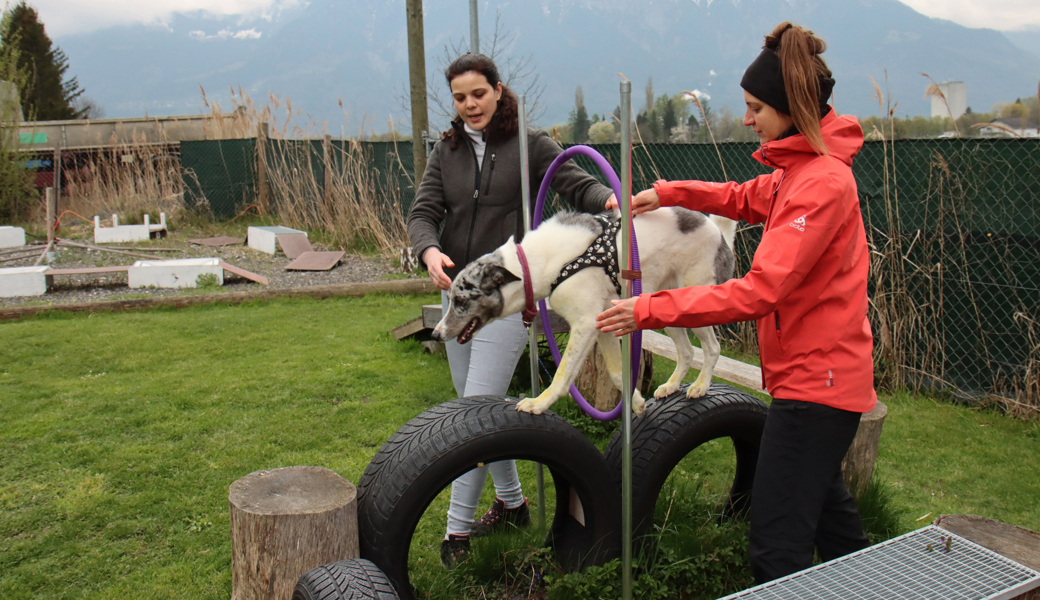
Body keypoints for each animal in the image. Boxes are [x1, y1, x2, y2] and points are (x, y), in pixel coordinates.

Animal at [434, 206, 736, 415]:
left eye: (461, 301)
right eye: (451, 299)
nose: (436, 334)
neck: (532, 265)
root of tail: (720, 234)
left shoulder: (585, 324)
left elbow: (562, 375)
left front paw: (538, 404)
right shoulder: (602, 325)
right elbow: (617, 374)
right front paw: (637, 402)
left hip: (695, 307)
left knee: (712, 348)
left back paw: (700, 386)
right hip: (663, 311)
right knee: (687, 352)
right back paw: (672, 386)